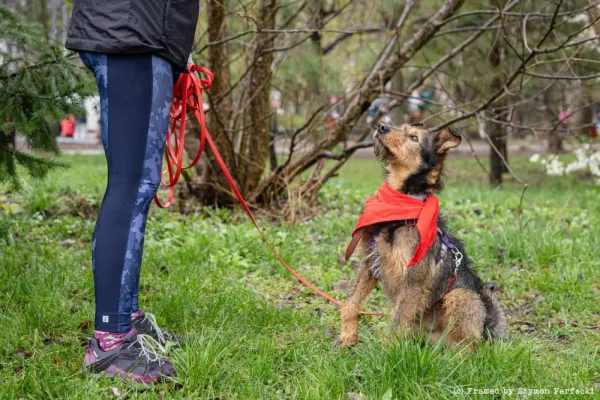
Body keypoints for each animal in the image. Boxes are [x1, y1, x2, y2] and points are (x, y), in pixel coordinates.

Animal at [340, 123, 504, 348]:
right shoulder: (369, 264)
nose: (381, 126)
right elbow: (351, 302)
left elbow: (394, 326)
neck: (401, 206)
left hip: (461, 296)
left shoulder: (413, 281)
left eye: (414, 138)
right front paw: (347, 336)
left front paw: (381, 354)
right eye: (402, 128)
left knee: (469, 347)